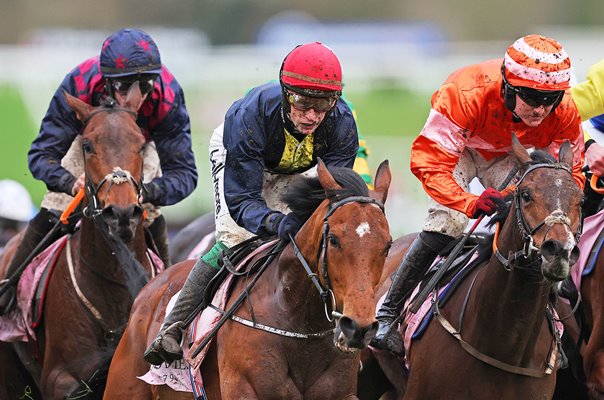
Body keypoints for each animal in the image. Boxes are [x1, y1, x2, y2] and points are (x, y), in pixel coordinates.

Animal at [105, 160, 392, 400]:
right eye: (333, 240)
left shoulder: (343, 393)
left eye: (387, 245)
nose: (358, 327)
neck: (299, 322)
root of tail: (150, 284)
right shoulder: (246, 390)